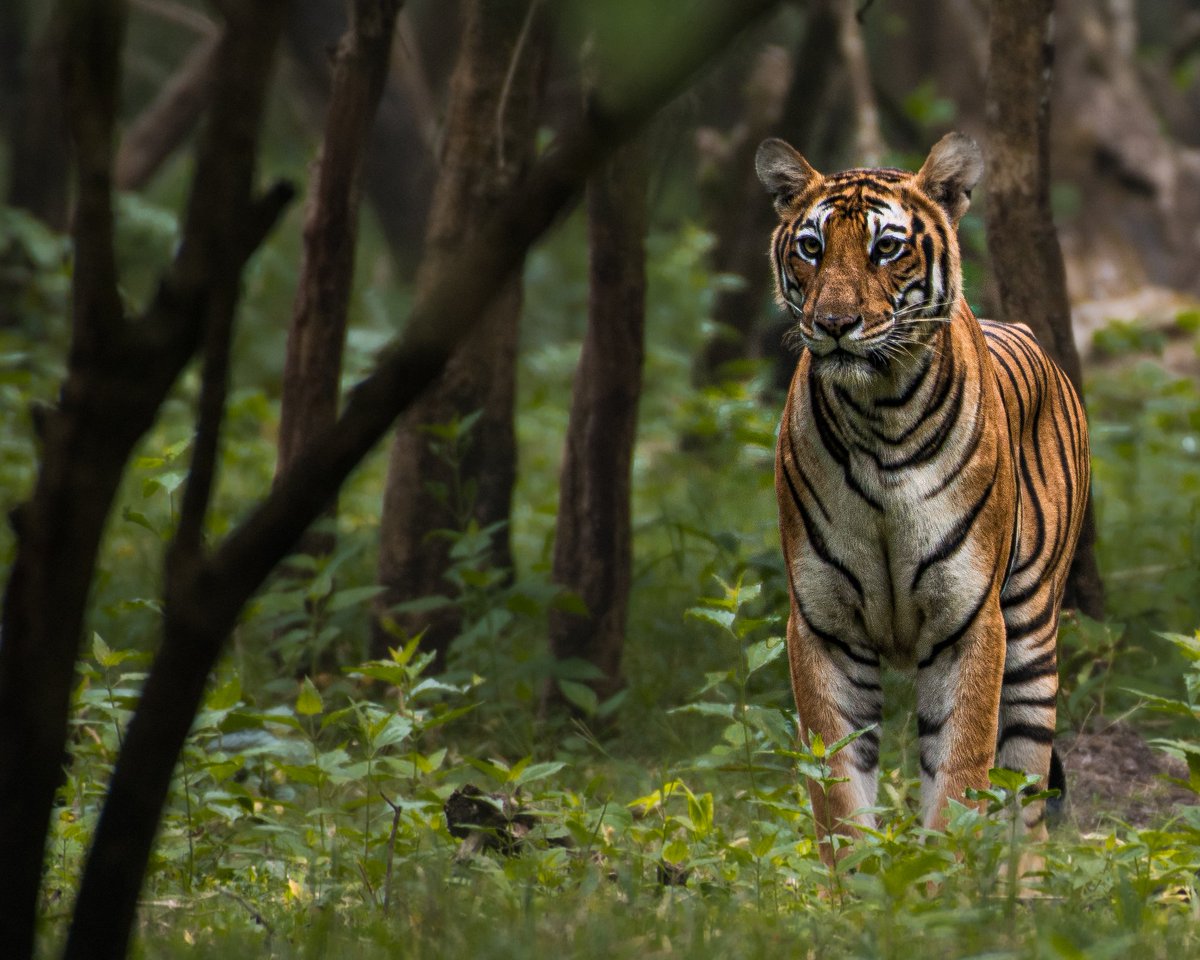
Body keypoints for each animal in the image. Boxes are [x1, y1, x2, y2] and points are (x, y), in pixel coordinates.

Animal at [755, 132, 1089, 864]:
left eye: (885, 247)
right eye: (811, 247)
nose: (835, 323)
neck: (878, 414)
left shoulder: (970, 622)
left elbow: (959, 783)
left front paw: (939, 889)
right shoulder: (823, 624)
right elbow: (839, 796)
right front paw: (858, 888)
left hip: (1032, 635)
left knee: (1024, 804)